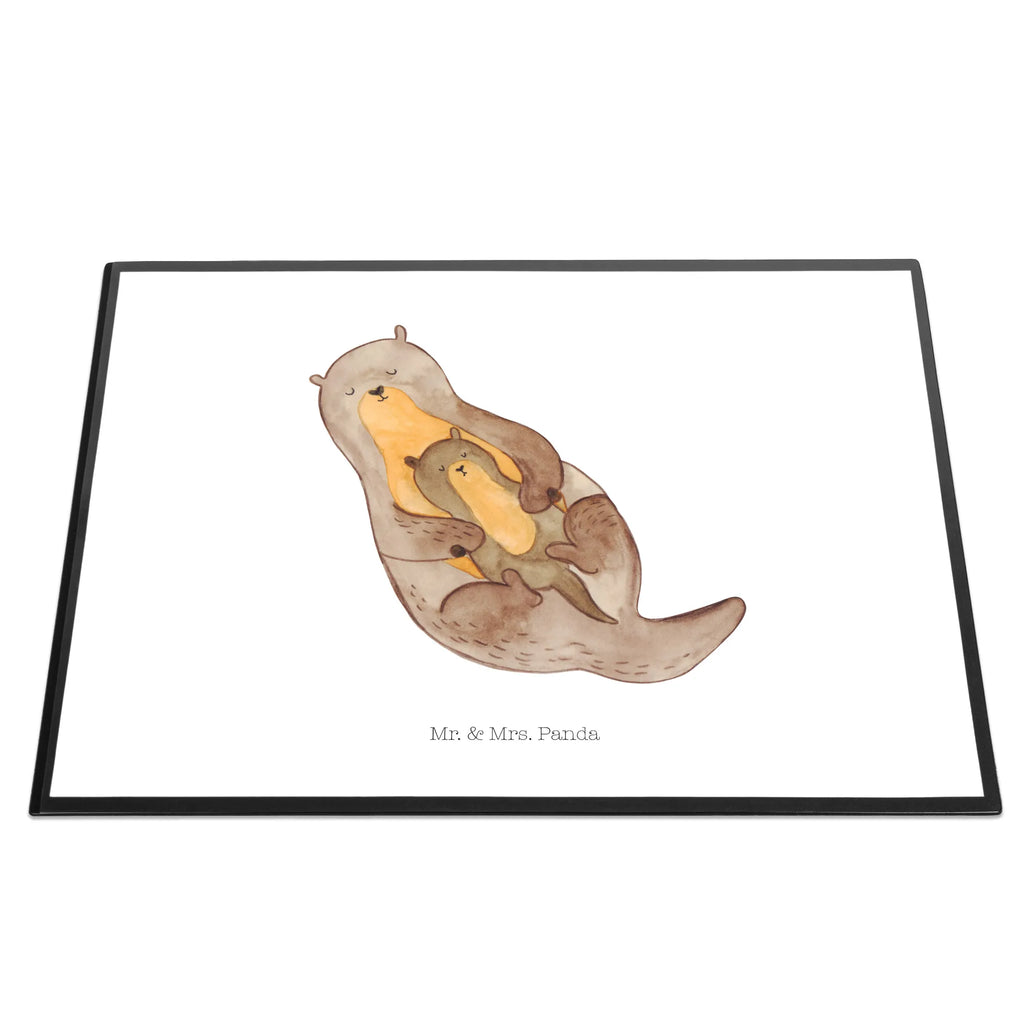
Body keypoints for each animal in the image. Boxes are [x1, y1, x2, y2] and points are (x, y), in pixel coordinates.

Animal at [405, 430, 616, 623]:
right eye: (440, 468)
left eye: (463, 453)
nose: (460, 468)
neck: (480, 493)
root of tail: (556, 572)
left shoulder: (517, 488)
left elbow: (531, 501)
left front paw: (547, 496)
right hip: (511, 570)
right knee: (525, 590)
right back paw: (518, 581)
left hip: (555, 529)